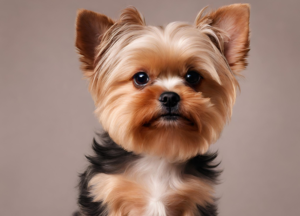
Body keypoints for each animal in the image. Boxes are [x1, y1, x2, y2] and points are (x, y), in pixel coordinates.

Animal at [74, 3, 251, 216]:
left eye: (193, 77)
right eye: (140, 78)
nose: (170, 97)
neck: (159, 152)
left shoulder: (196, 197)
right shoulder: (106, 190)